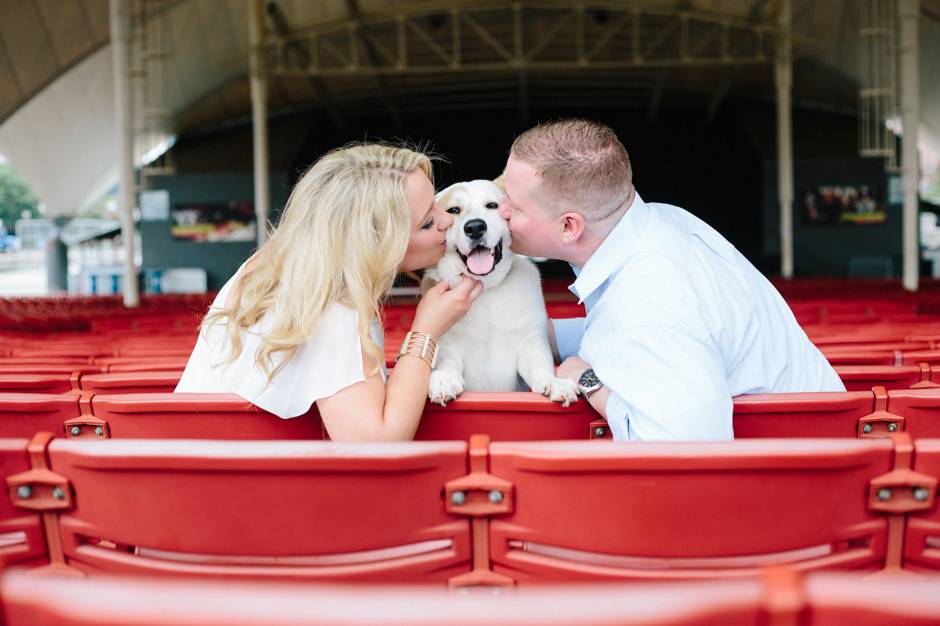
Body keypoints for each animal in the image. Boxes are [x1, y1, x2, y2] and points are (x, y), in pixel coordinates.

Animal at [422, 178, 576, 408]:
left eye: (492, 205)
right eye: (454, 210)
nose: (475, 227)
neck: (487, 290)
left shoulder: (530, 345)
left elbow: (540, 369)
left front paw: (554, 382)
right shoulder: (450, 348)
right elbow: (447, 364)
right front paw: (443, 379)